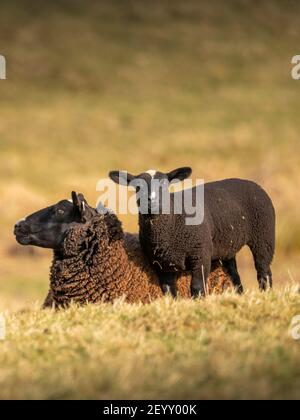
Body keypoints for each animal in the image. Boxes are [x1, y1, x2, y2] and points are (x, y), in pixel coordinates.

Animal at [108, 168, 276, 298]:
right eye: (137, 187)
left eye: (165, 184)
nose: (151, 201)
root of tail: (251, 182)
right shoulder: (161, 264)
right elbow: (168, 291)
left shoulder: (200, 254)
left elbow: (197, 288)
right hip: (227, 247)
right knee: (235, 276)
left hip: (264, 235)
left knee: (263, 270)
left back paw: (266, 294)